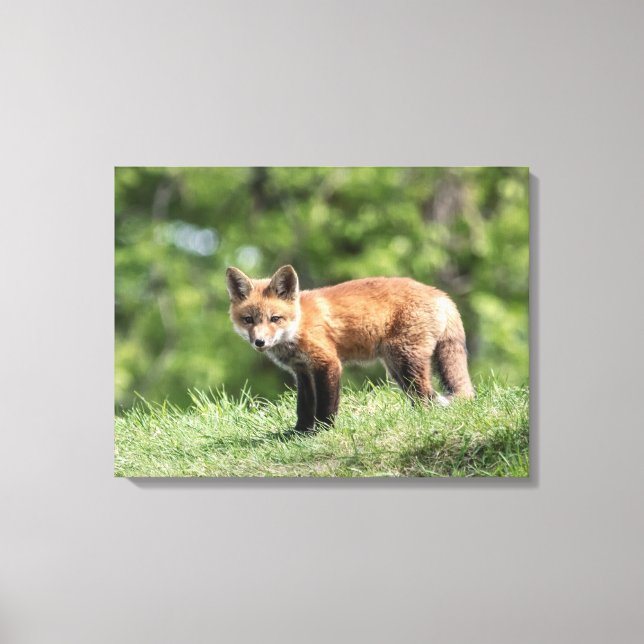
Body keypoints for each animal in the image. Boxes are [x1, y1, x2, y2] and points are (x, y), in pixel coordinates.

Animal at [226, 265, 474, 432]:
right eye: (248, 320)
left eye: (275, 318)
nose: (259, 342)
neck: (298, 325)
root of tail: (440, 294)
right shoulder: (302, 371)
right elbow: (304, 406)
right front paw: (299, 432)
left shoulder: (327, 363)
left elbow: (326, 404)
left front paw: (323, 431)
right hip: (396, 367)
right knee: (423, 395)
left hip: (405, 361)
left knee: (426, 397)